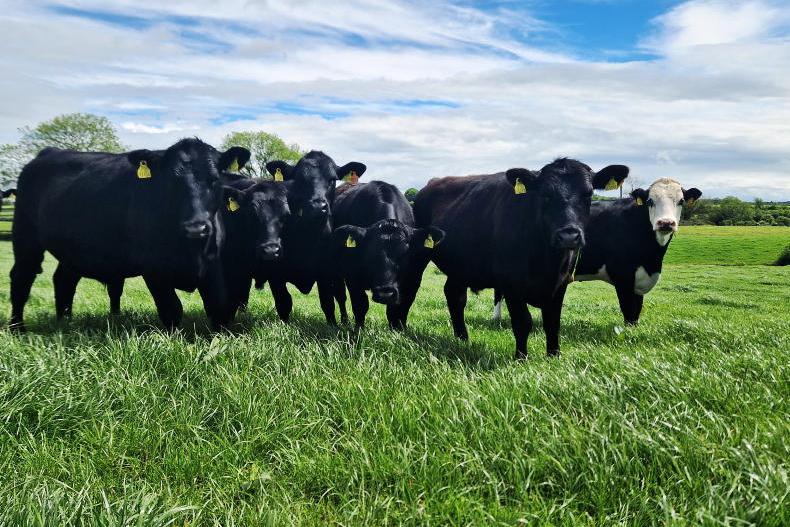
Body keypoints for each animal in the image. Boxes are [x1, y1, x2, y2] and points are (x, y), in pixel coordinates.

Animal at [9, 138, 250, 331]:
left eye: (214, 179)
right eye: (171, 181)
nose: (196, 228)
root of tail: (48, 152)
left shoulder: (213, 263)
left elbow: (218, 306)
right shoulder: (153, 268)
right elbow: (171, 308)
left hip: (73, 251)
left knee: (63, 280)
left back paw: (65, 322)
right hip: (25, 236)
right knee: (22, 277)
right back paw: (17, 328)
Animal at [255, 151, 366, 324]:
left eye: (332, 179)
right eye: (299, 179)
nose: (317, 206)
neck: (305, 236)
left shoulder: (325, 271)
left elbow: (327, 302)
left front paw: (332, 326)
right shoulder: (275, 270)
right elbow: (283, 302)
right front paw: (284, 326)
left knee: (340, 296)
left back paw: (345, 321)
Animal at [330, 180, 445, 328]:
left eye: (406, 252)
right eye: (369, 252)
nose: (385, 294)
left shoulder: (412, 279)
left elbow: (399, 307)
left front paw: (398, 329)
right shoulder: (352, 275)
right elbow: (360, 305)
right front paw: (358, 330)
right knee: (340, 296)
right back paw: (344, 321)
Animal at [399, 159, 629, 359]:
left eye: (588, 194)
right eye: (545, 194)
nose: (568, 235)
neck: (547, 259)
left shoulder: (561, 282)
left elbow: (552, 322)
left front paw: (554, 356)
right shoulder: (511, 283)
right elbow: (522, 322)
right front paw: (521, 357)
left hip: (461, 266)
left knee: (455, 296)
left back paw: (462, 338)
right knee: (411, 288)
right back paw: (401, 329)